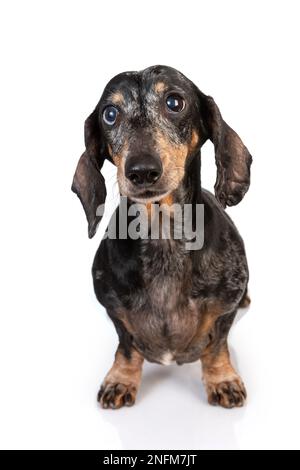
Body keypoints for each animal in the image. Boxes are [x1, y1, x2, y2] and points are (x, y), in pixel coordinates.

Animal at [71, 64, 252, 410]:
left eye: (174, 102)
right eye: (110, 114)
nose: (142, 171)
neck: (163, 236)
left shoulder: (225, 307)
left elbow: (216, 347)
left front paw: (222, 379)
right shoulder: (112, 308)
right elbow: (127, 346)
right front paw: (121, 378)